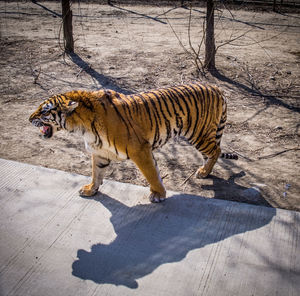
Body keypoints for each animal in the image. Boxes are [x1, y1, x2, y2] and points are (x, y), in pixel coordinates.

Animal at [29, 82, 238, 204]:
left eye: (45, 111)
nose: (29, 118)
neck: (82, 127)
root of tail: (216, 88)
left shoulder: (140, 150)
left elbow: (152, 173)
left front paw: (158, 194)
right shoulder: (100, 153)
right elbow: (96, 173)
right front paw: (91, 190)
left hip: (198, 134)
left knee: (216, 150)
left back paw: (203, 172)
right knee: (212, 151)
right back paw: (205, 170)